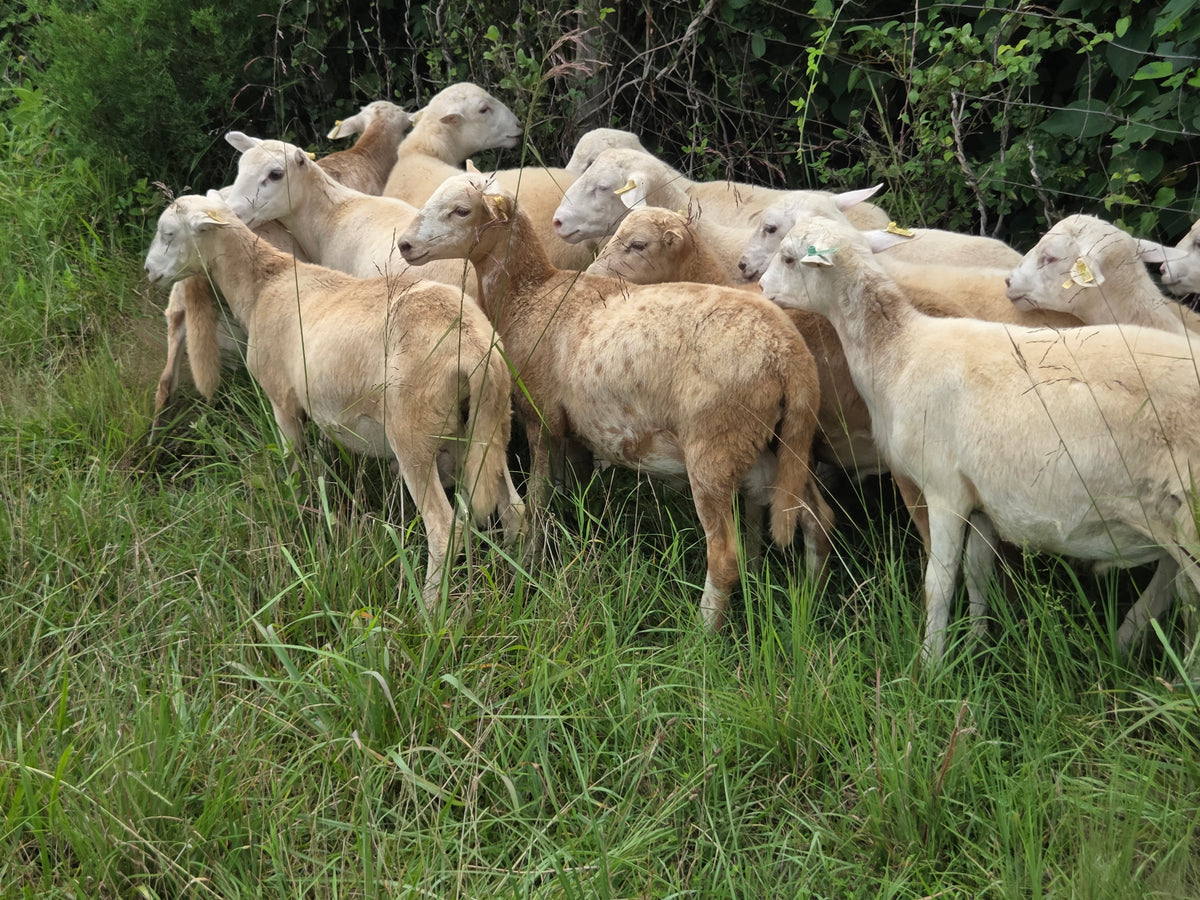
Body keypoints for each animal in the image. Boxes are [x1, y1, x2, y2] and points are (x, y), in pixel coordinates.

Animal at [144, 193, 525, 612]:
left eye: (168, 233)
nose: (149, 272)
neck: (264, 283)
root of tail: (474, 347)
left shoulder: (282, 401)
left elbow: (294, 464)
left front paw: (296, 512)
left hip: (414, 434)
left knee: (444, 529)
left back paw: (427, 610)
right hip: (487, 427)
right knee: (514, 510)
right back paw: (520, 584)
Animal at [396, 172, 836, 630]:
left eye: (461, 210)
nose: (405, 245)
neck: (530, 295)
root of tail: (789, 356)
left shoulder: (542, 417)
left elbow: (537, 500)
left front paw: (528, 568)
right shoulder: (573, 430)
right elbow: (568, 489)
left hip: (715, 447)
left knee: (725, 558)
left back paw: (703, 633)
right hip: (782, 444)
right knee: (818, 522)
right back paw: (810, 603)